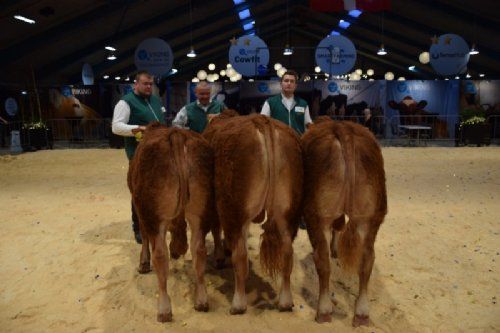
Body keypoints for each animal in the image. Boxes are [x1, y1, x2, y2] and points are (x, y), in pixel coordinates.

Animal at [127, 123, 219, 320]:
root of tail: (176, 134)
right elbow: (178, 228)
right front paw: (177, 248)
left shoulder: (140, 208)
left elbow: (144, 237)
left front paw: (143, 263)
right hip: (200, 209)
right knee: (199, 250)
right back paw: (201, 300)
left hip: (153, 212)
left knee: (160, 255)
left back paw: (164, 309)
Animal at [204, 112, 304, 314]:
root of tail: (262, 121)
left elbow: (216, 230)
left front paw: (220, 256)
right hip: (288, 213)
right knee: (287, 253)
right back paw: (285, 302)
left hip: (234, 209)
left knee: (240, 256)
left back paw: (238, 304)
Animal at [300, 117, 386, 326]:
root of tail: (342, 127)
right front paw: (336, 250)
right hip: (371, 216)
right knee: (367, 260)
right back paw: (362, 313)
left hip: (317, 214)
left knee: (322, 261)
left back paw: (323, 311)